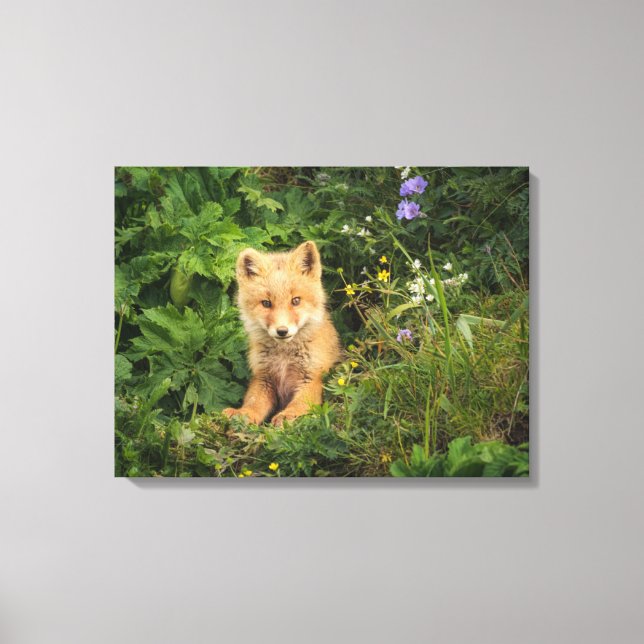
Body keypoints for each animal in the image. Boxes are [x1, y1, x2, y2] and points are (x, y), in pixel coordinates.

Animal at [222, 241, 341, 426]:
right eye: (266, 303)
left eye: (296, 300)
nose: (282, 331)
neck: (284, 357)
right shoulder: (263, 378)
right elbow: (253, 403)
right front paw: (243, 413)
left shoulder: (312, 378)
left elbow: (300, 404)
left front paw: (288, 415)